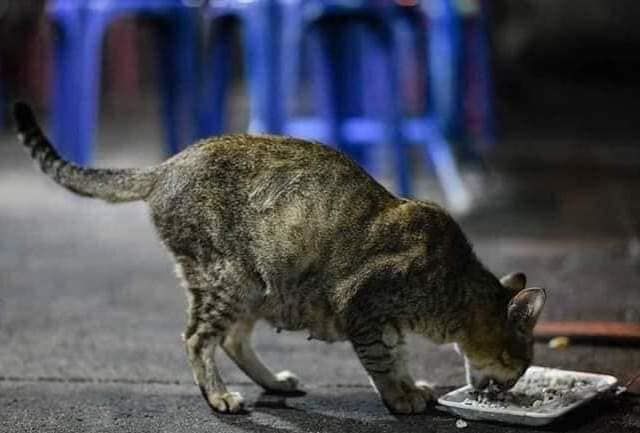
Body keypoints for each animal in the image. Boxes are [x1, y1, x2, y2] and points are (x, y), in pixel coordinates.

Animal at [12, 102, 548, 416]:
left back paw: (273, 382)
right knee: (197, 338)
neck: (449, 287)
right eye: (520, 362)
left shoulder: (385, 320)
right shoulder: (364, 307)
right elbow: (381, 360)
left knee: (231, 339)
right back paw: (219, 396)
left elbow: (396, 354)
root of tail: (167, 164)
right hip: (227, 277)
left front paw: (409, 384)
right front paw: (400, 397)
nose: (509, 388)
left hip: (257, 285)